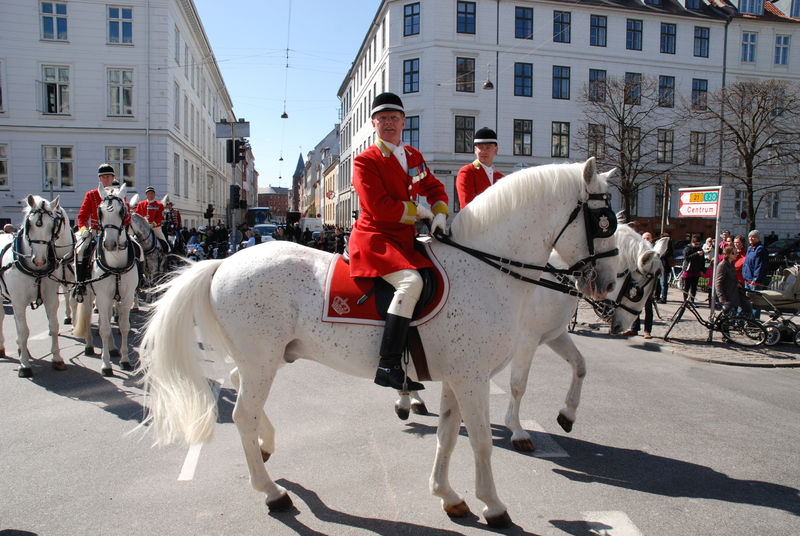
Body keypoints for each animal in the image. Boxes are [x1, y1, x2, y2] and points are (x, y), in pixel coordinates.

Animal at [0, 196, 72, 376]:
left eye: (52, 225)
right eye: (30, 224)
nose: (39, 260)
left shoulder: (50, 297)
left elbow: (53, 326)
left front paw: (57, 359)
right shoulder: (18, 300)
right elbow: (24, 331)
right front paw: (24, 365)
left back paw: (20, 348)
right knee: (4, 317)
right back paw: (4, 347)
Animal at [72, 184, 138, 376]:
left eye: (122, 211)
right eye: (100, 212)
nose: (109, 244)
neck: (115, 263)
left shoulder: (126, 297)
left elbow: (123, 326)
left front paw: (124, 360)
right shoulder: (101, 297)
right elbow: (105, 329)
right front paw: (106, 365)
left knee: (106, 318)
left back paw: (112, 348)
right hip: (89, 294)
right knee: (89, 316)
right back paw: (89, 346)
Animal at [138, 158, 616, 528]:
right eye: (604, 220)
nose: (608, 285)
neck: (486, 268)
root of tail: (224, 262)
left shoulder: (457, 378)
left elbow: (448, 436)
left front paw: (448, 495)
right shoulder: (473, 378)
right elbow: (479, 440)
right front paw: (493, 505)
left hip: (264, 358)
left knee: (242, 396)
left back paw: (266, 445)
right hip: (261, 361)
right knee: (241, 414)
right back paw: (271, 492)